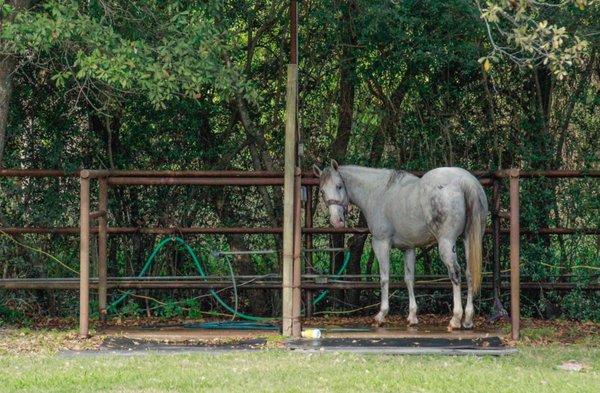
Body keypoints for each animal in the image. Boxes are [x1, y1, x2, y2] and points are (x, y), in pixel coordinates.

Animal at [314, 161, 488, 330]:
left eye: (339, 186)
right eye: (322, 191)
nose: (336, 221)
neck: (377, 192)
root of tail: (464, 181)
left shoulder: (381, 243)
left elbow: (384, 278)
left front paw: (381, 315)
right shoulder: (408, 248)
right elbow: (409, 279)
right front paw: (412, 317)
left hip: (446, 242)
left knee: (455, 274)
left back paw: (456, 319)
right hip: (468, 239)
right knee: (469, 273)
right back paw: (468, 320)